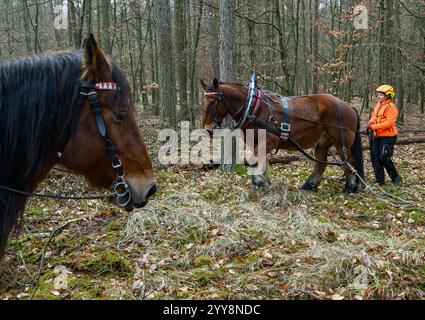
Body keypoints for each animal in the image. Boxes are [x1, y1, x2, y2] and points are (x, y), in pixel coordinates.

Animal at [200, 75, 362, 192]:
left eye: (213, 102)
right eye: (203, 101)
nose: (207, 129)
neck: (254, 107)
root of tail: (349, 107)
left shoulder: (269, 142)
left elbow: (254, 161)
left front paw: (259, 182)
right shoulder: (255, 143)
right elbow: (261, 161)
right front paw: (264, 182)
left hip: (341, 143)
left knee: (350, 162)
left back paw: (350, 187)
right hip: (322, 143)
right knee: (321, 164)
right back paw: (309, 185)